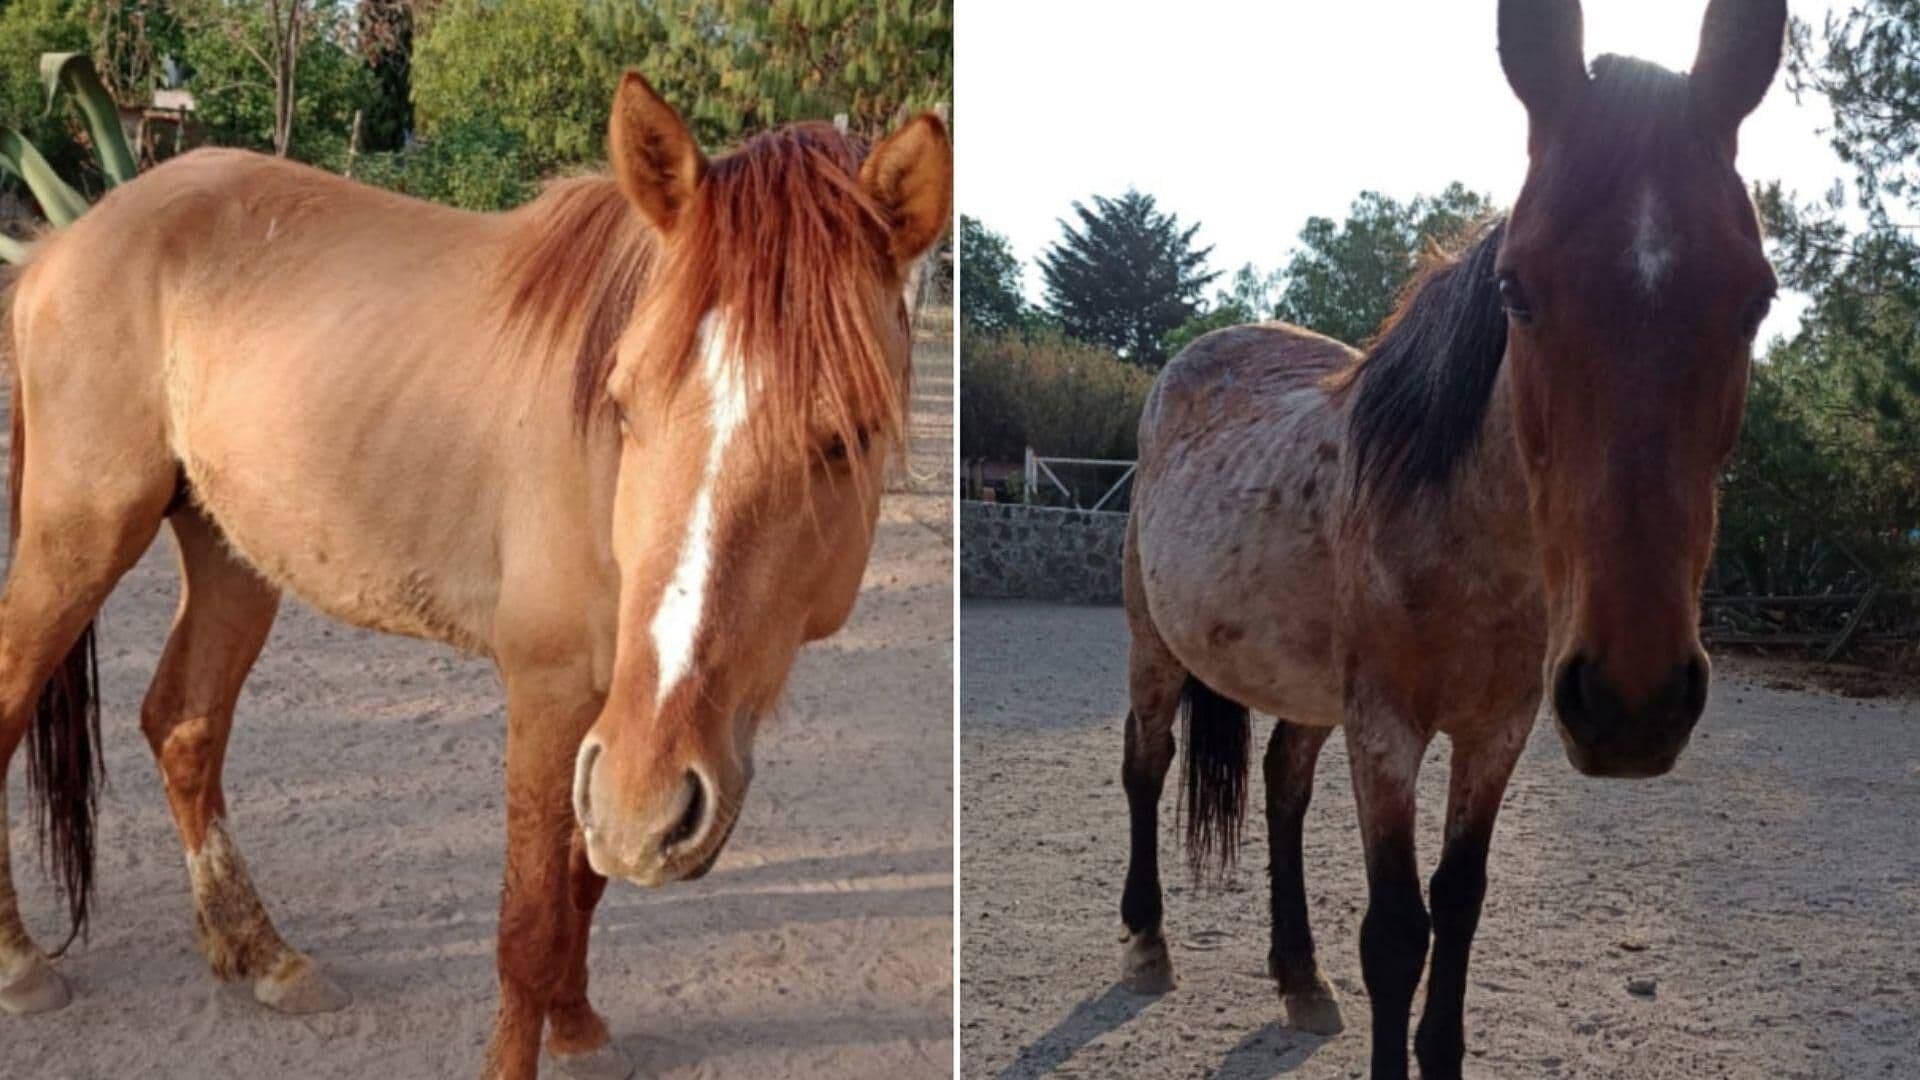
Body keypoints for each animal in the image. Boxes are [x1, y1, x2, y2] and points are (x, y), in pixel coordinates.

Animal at [0, 71, 949, 1079]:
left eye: (846, 439)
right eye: (624, 405)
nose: (653, 807)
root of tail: (71, 238)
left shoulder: (613, 727)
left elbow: (582, 884)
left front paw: (579, 1028)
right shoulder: (554, 695)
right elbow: (529, 920)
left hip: (231, 551)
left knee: (184, 725)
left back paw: (262, 954)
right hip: (81, 532)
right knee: (20, 703)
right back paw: (22, 963)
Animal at [1117, 1, 1783, 1076]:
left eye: (1757, 298)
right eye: (1515, 288)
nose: (1633, 702)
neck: (1473, 550)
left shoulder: (1496, 731)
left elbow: (1459, 904)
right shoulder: (1387, 730)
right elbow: (1397, 934)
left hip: (1310, 693)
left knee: (1283, 786)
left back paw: (1298, 974)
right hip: (1153, 645)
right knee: (1147, 763)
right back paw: (1145, 941)